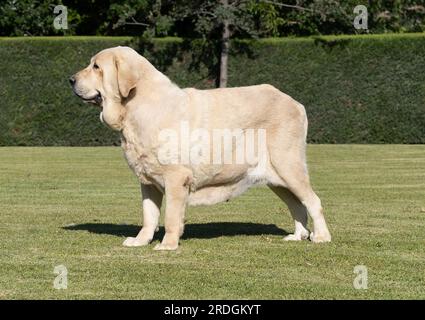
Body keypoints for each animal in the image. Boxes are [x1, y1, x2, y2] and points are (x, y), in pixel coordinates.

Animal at [69, 45, 330, 250]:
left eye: (96, 67)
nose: (71, 80)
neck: (135, 107)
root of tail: (295, 103)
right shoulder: (147, 181)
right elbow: (149, 215)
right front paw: (140, 241)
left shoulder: (176, 177)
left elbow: (171, 216)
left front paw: (167, 244)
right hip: (277, 178)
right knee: (297, 204)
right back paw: (297, 236)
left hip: (288, 166)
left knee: (313, 201)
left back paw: (321, 237)